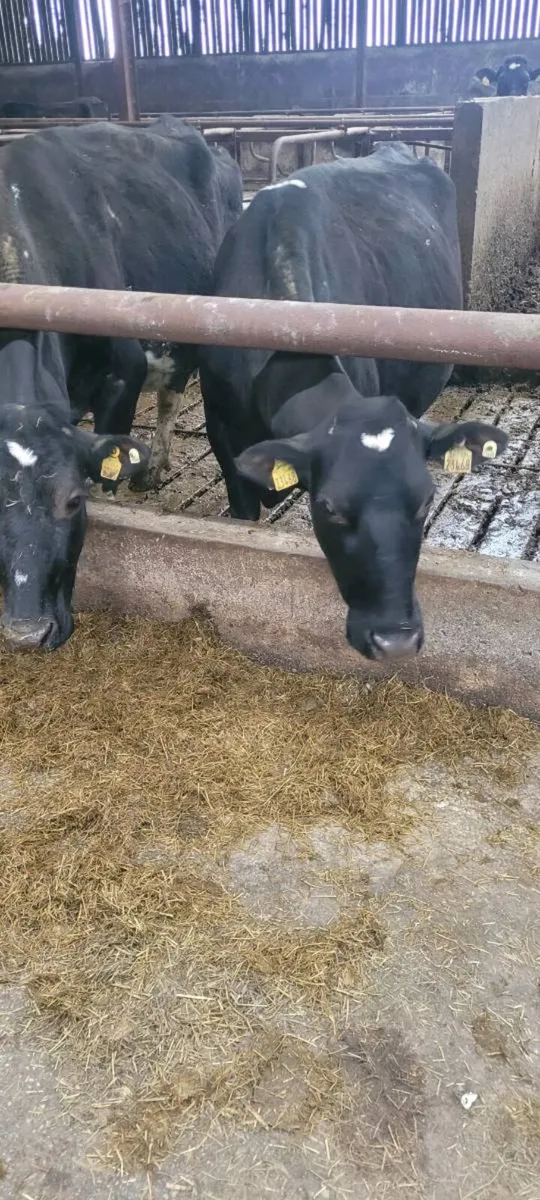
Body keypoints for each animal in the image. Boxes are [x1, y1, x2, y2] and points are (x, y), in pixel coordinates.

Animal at [0, 116, 242, 651]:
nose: (27, 634)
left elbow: (107, 479)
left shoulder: (121, 377)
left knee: (172, 399)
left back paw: (153, 468)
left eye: (73, 501)